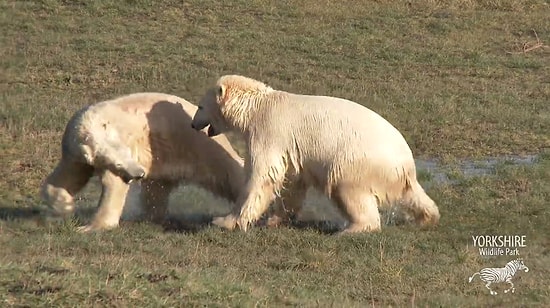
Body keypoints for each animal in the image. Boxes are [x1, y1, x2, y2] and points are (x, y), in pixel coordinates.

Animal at [40, 92, 244, 232]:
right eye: (119, 161)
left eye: (127, 151)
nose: (138, 174)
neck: (90, 124)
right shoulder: (74, 153)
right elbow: (68, 177)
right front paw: (65, 206)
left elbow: (113, 185)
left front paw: (89, 227)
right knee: (157, 189)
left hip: (197, 142)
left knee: (227, 170)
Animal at [192, 74, 442, 233]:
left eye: (200, 106)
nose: (194, 125)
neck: (257, 107)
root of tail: (406, 165)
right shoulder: (291, 149)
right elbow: (292, 179)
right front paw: (275, 219)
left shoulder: (269, 130)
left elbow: (264, 175)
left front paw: (225, 221)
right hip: (397, 177)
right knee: (415, 196)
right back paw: (426, 218)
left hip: (357, 161)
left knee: (347, 188)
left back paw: (352, 229)